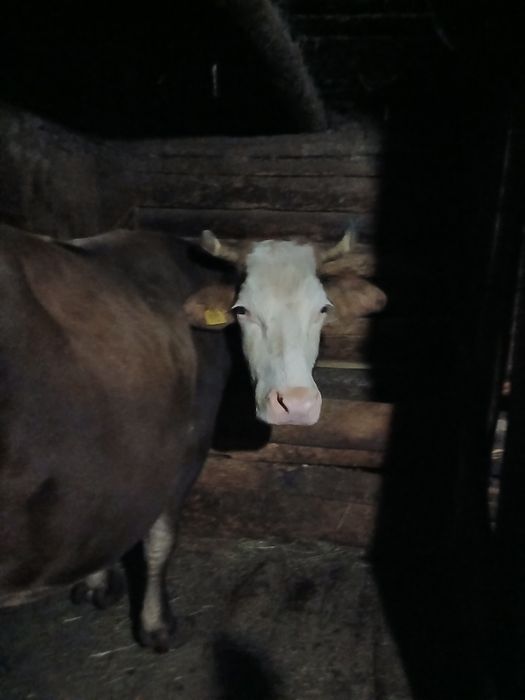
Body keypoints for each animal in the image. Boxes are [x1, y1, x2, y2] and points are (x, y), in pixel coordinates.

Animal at [0, 224, 386, 651]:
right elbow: (159, 542)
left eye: (323, 309)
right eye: (241, 310)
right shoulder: (181, 453)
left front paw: (96, 585)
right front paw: (156, 625)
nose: (296, 404)